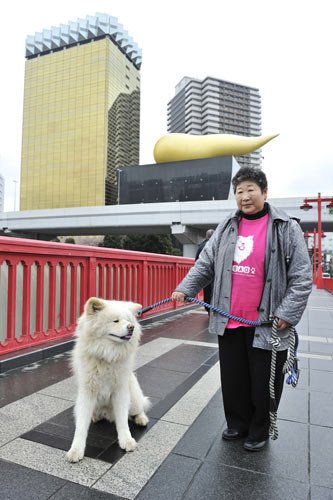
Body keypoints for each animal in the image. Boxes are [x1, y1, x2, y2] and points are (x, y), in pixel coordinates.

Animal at [66, 294, 149, 462]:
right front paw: (76, 450)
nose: (131, 327)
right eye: (115, 321)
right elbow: (81, 426)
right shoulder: (87, 393)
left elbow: (123, 421)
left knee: (140, 408)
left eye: (128, 321)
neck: (106, 355)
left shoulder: (120, 391)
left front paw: (127, 441)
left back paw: (141, 419)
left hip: (134, 399)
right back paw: (95, 416)